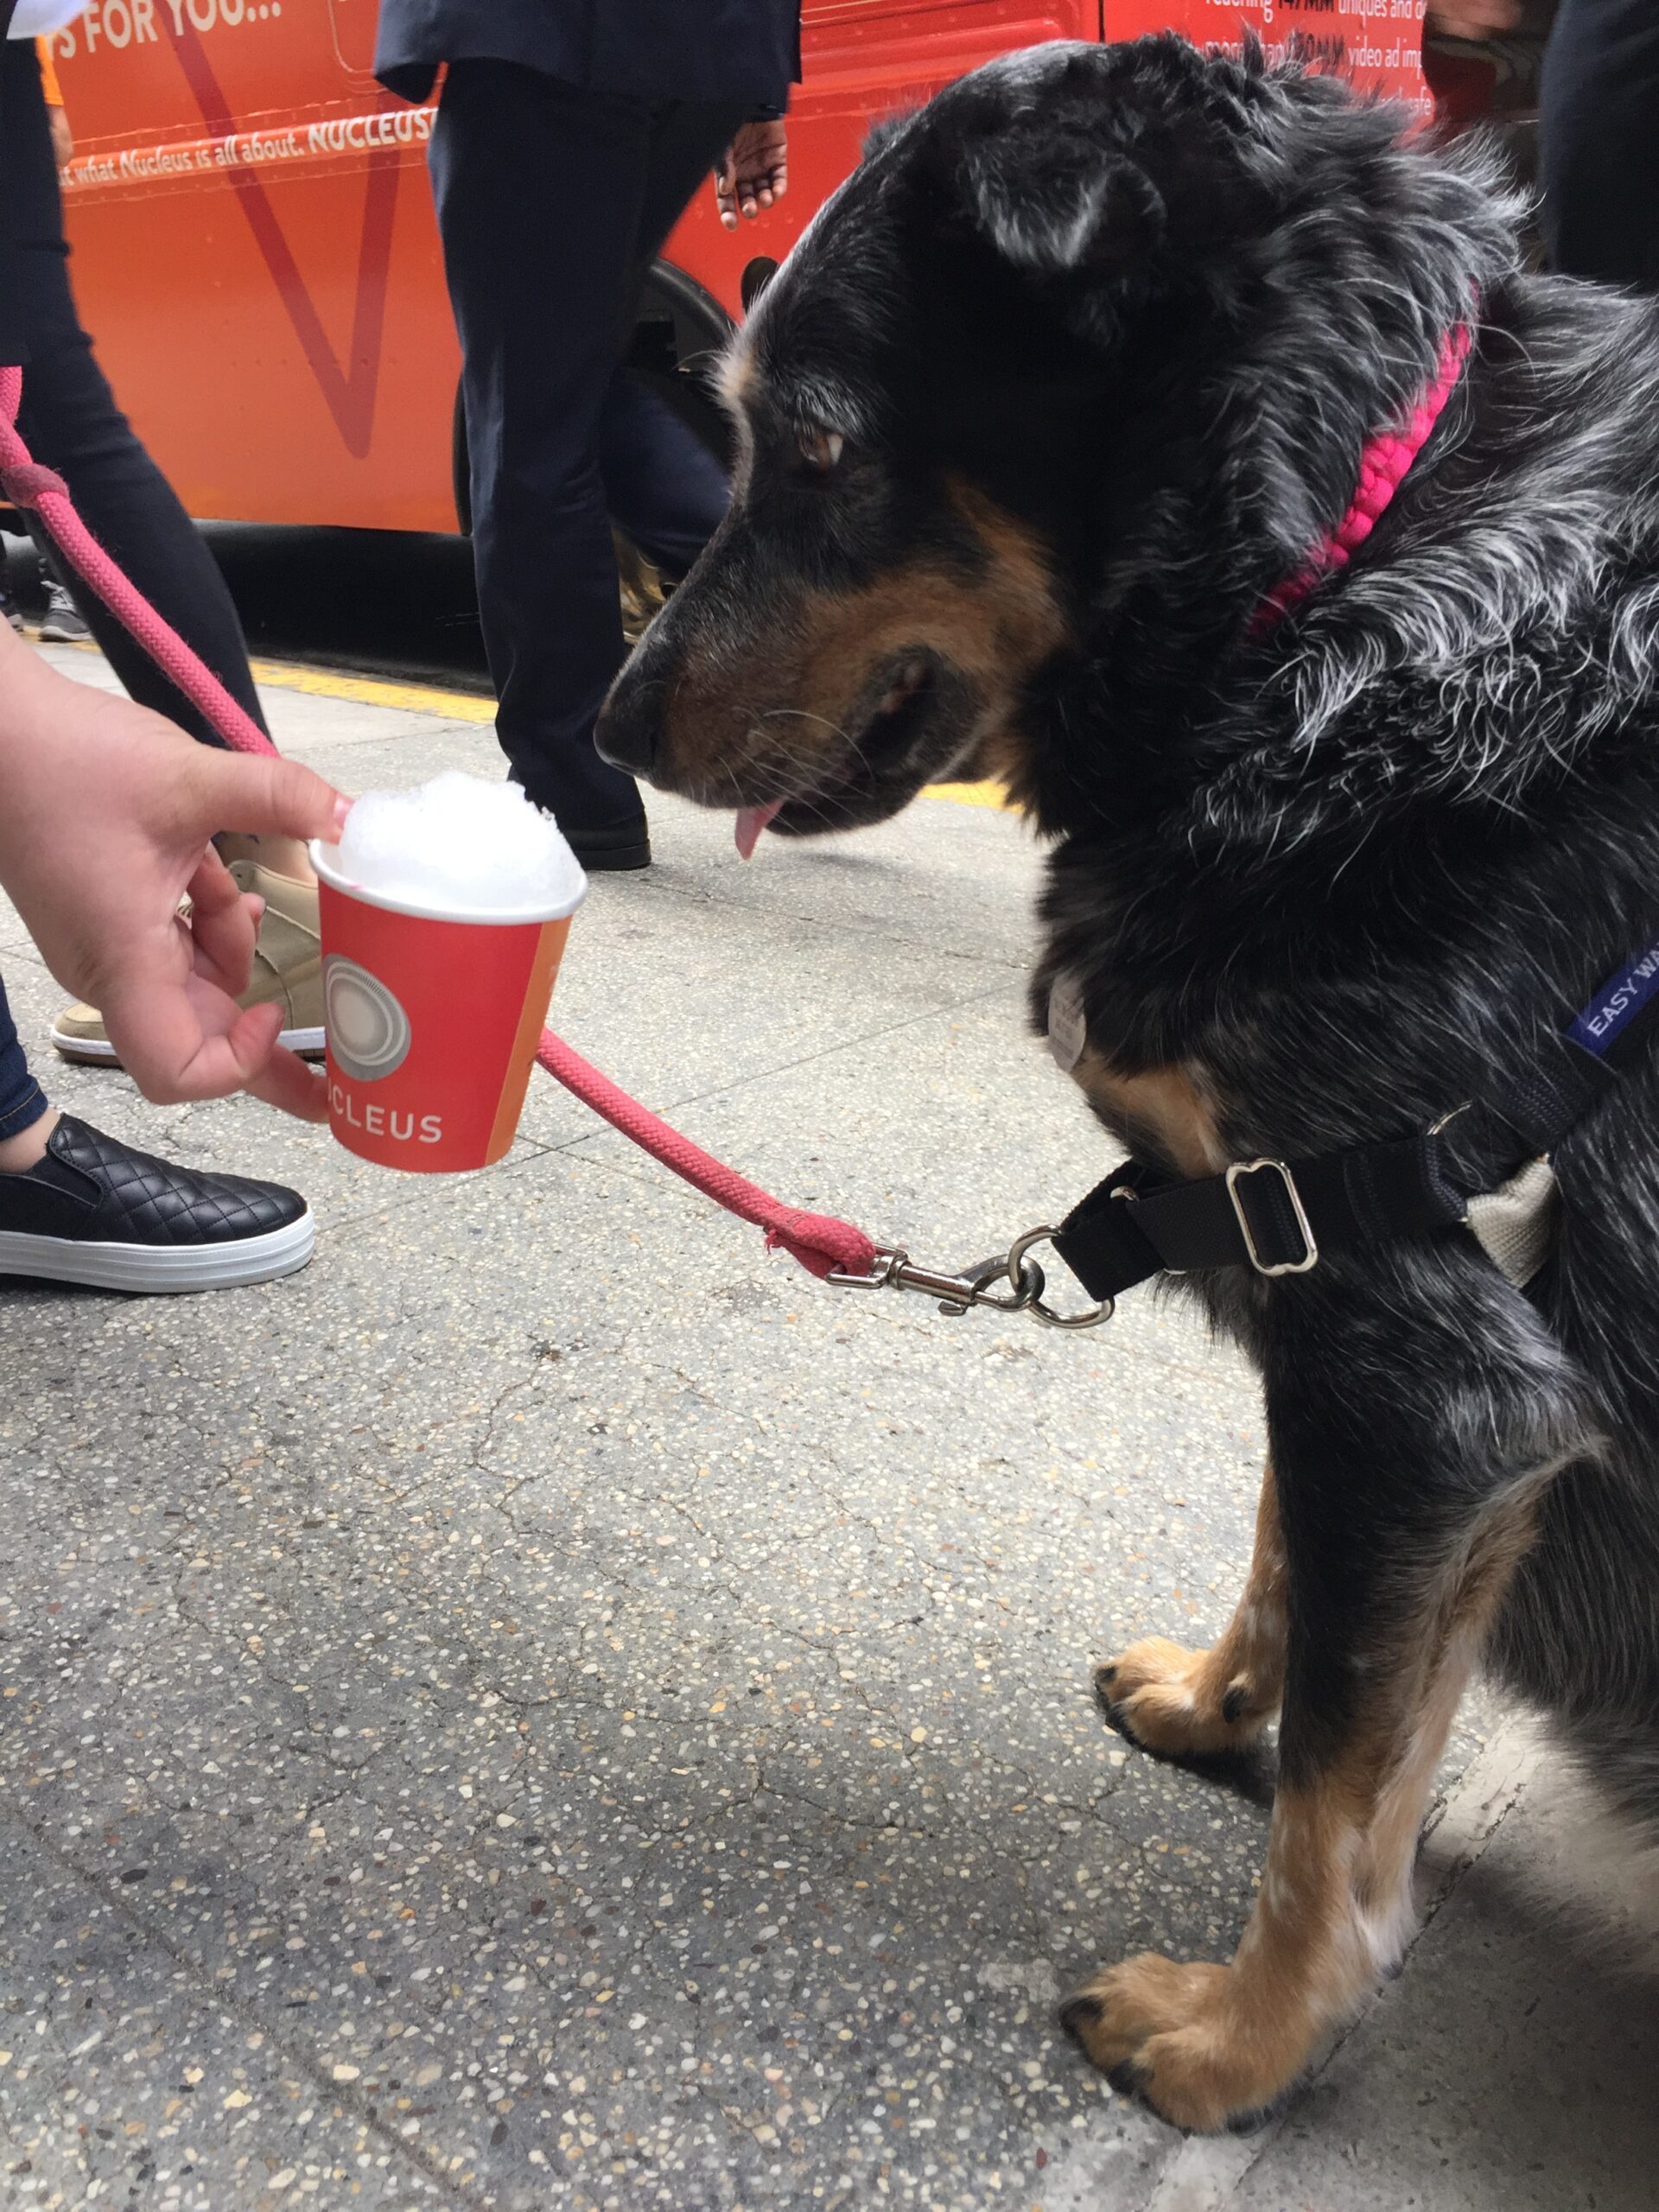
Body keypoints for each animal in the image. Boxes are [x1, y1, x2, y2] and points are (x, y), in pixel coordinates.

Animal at [595, 35, 1659, 2131]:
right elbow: (1289, 1557)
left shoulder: (1432, 1357)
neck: (1341, 575)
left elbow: (1341, 1789)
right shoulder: (1311, 1259)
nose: (606, 717)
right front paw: (1224, 1697)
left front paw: (1244, 2038)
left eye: (817, 448)